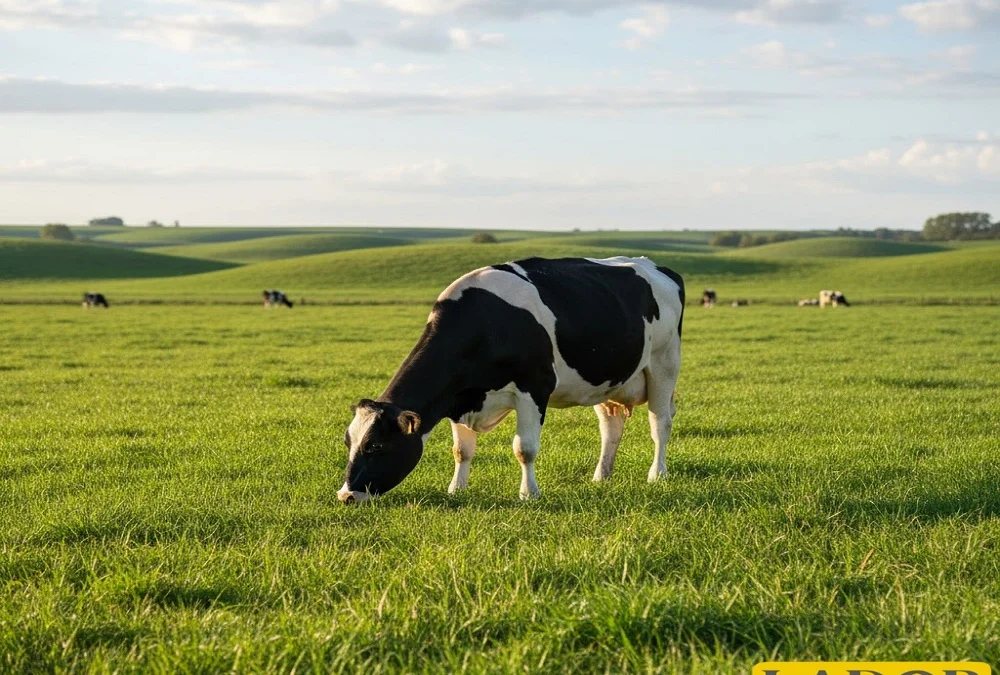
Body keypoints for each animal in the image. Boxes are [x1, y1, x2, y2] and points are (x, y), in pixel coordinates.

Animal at [338, 256, 684, 504]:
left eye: (376, 445)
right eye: (348, 442)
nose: (346, 496)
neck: (486, 324)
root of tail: (656, 265)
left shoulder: (535, 387)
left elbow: (524, 448)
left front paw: (529, 494)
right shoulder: (460, 398)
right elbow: (461, 450)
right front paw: (456, 489)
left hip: (664, 364)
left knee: (660, 424)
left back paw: (657, 474)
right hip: (608, 381)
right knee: (611, 429)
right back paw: (601, 476)